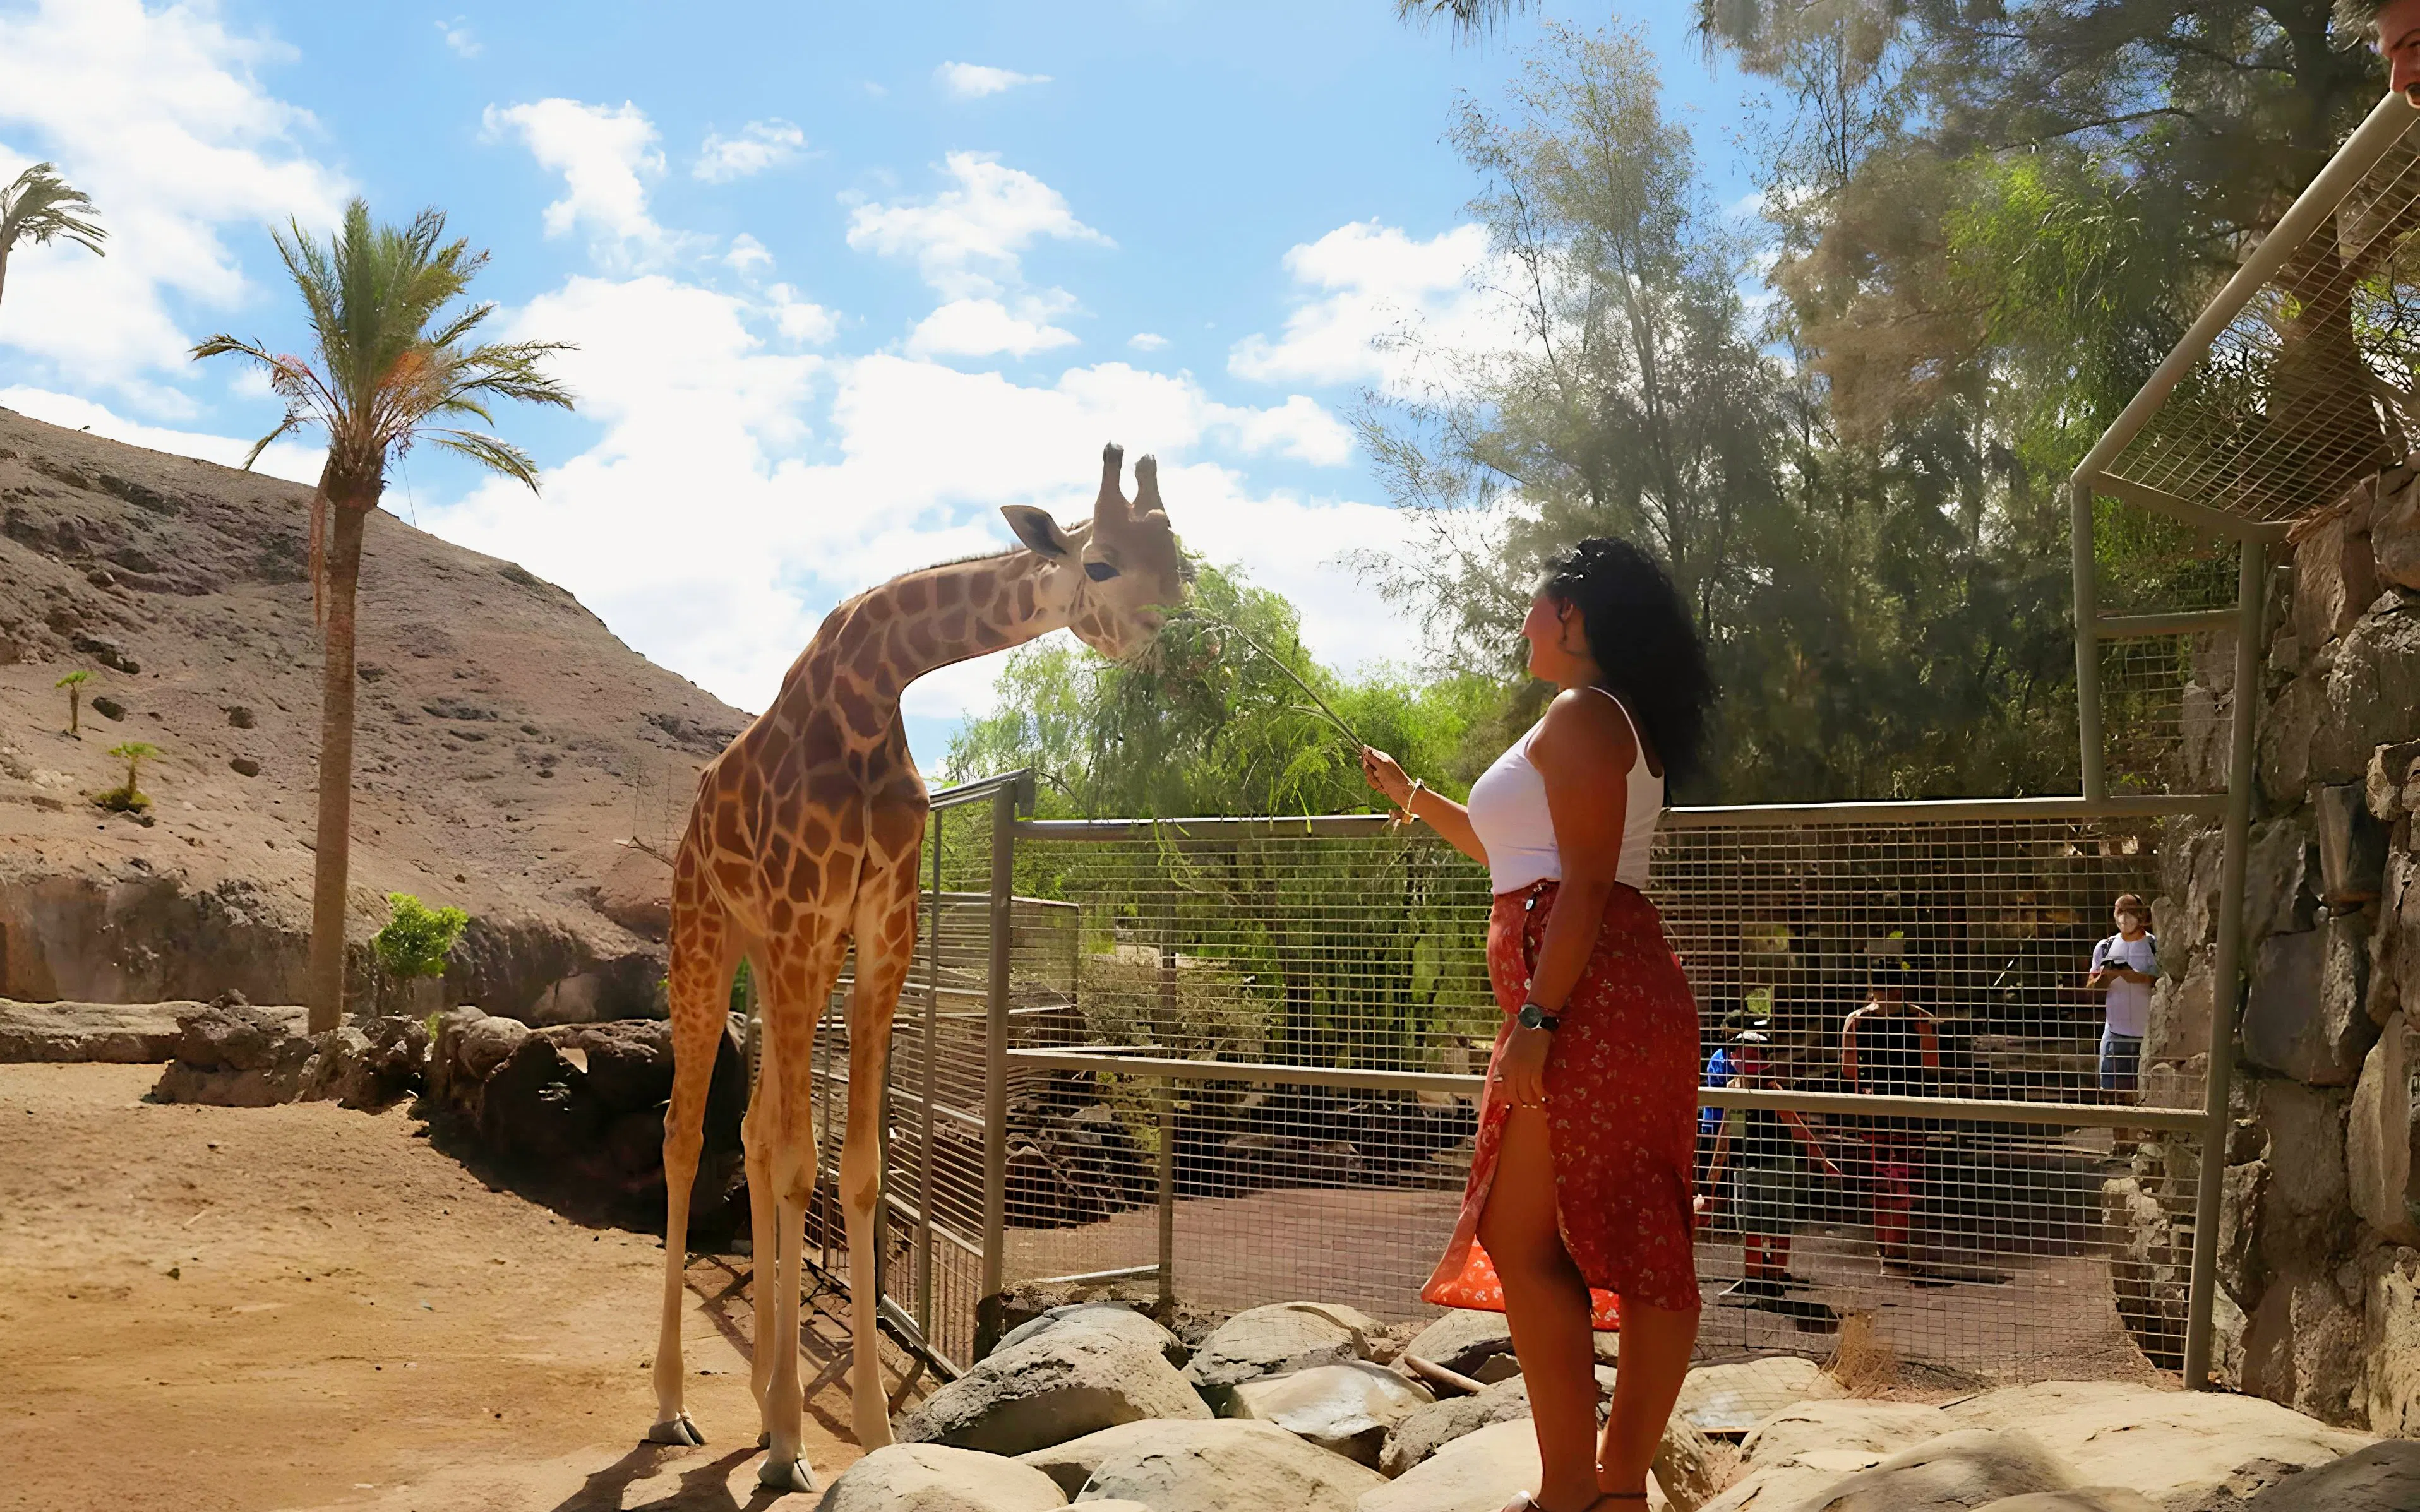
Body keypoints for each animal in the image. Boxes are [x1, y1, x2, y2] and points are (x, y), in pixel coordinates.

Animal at [645, 443, 1187, 1491]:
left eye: (1179, 560)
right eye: (1101, 563)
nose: (1178, 645)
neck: (869, 688)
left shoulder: (880, 929)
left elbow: (853, 1167)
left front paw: (859, 1429)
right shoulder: (808, 919)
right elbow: (802, 1160)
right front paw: (792, 1441)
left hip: (779, 955)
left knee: (753, 1129)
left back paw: (756, 1402)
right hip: (710, 934)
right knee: (687, 1135)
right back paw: (673, 1406)